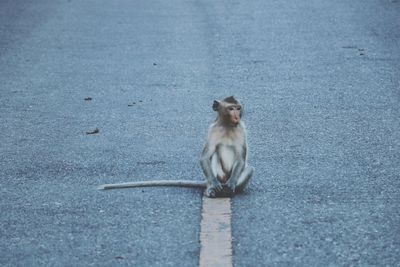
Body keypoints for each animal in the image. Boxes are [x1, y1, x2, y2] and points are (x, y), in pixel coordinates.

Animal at [97, 97, 253, 198]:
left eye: (238, 108)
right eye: (231, 108)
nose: (237, 116)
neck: (227, 126)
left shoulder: (242, 130)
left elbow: (241, 158)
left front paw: (231, 184)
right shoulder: (212, 130)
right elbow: (205, 156)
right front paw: (214, 184)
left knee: (249, 169)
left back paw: (230, 190)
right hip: (219, 176)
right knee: (213, 156)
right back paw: (212, 189)